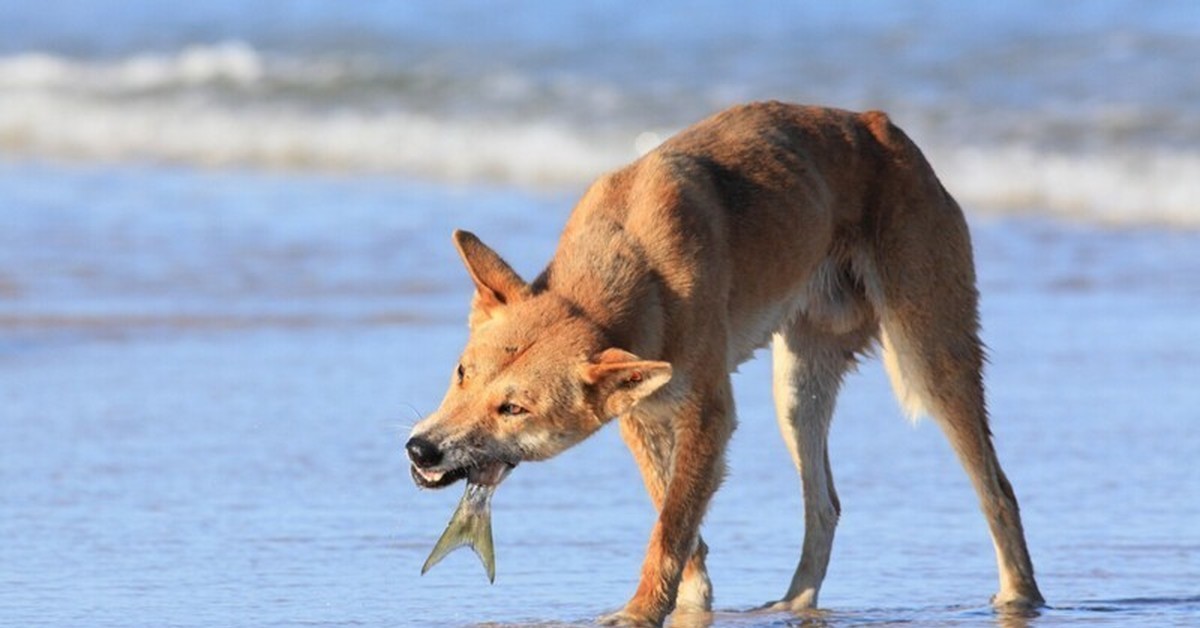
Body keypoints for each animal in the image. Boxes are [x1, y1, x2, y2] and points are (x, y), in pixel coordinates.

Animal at [403, 100, 1041, 624]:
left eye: (514, 408)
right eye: (462, 374)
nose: (420, 449)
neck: (634, 260)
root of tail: (883, 127)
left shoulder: (708, 414)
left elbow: (672, 523)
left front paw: (642, 611)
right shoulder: (643, 414)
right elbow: (675, 517)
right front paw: (689, 603)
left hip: (931, 360)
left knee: (998, 490)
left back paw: (1020, 597)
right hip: (797, 391)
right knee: (825, 506)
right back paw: (795, 604)